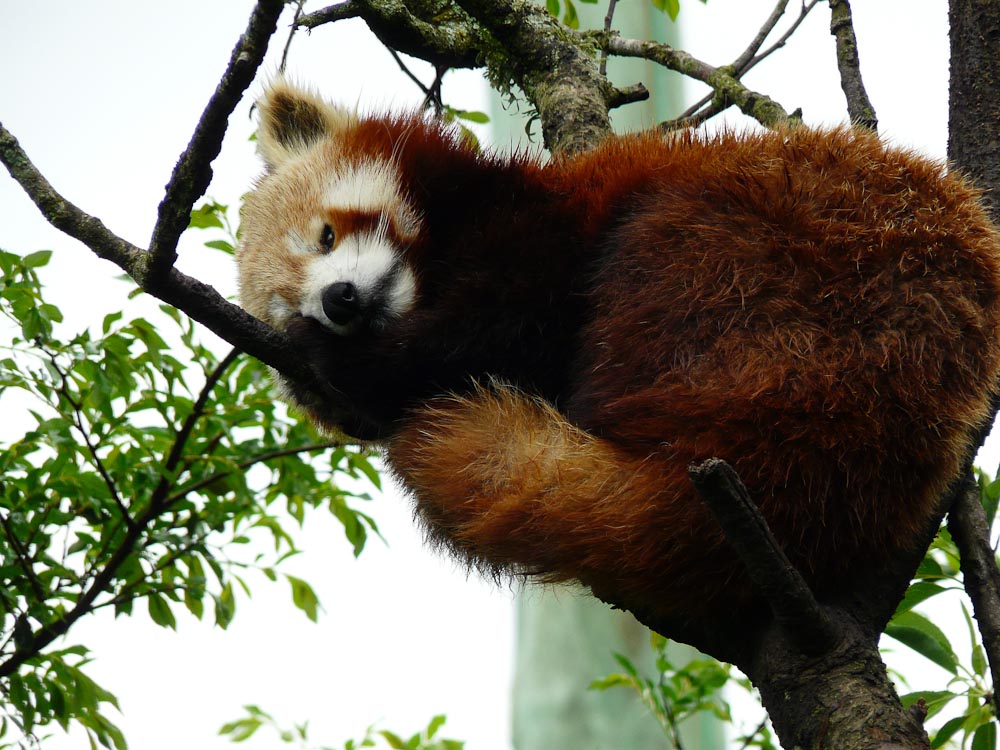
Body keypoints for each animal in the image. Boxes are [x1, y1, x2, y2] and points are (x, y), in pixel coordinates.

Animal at [236, 79, 1000, 621]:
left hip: (753, 260)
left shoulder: (533, 234)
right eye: (286, 304)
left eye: (326, 235)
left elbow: (498, 322)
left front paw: (352, 362)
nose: (338, 303)